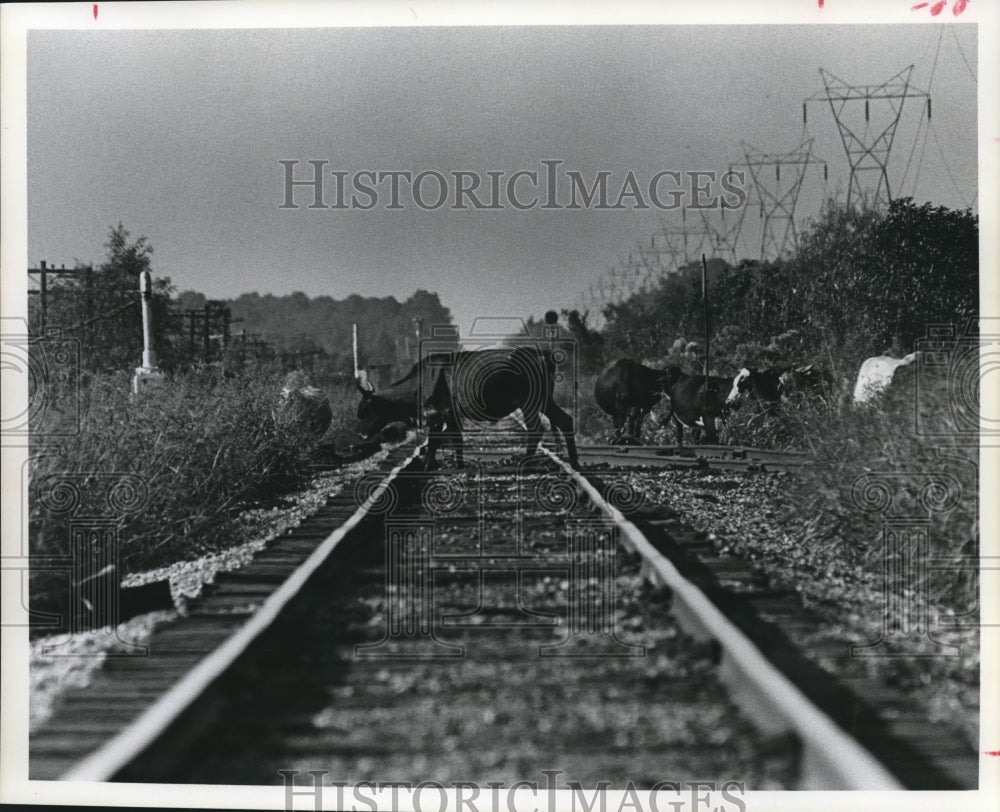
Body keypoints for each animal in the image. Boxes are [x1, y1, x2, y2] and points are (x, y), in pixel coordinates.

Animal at [358, 346, 580, 472]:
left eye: (367, 409)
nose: (360, 435)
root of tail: (540, 353)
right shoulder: (444, 417)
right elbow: (443, 440)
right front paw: (441, 463)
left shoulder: (443, 414)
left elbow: (441, 440)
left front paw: (437, 464)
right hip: (545, 401)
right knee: (565, 421)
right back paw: (575, 463)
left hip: (529, 404)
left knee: (536, 429)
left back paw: (525, 462)